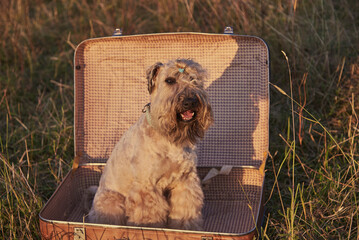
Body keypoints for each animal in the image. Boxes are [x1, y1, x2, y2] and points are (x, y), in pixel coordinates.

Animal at [88, 58, 214, 231]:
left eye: (194, 79)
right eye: (169, 80)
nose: (190, 101)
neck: (167, 136)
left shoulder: (184, 181)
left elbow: (185, 212)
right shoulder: (146, 187)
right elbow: (148, 216)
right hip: (112, 200)